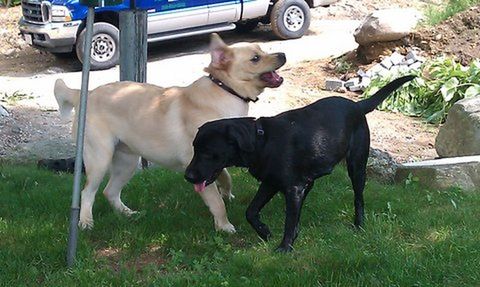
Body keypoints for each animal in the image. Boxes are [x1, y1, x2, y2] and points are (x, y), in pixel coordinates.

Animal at [53, 33, 284, 234]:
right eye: (255, 58)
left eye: (262, 50)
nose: (283, 54)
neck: (224, 90)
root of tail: (85, 93)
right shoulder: (198, 163)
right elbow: (216, 202)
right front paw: (224, 226)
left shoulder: (213, 162)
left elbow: (225, 176)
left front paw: (227, 192)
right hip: (100, 160)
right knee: (87, 193)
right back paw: (85, 222)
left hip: (127, 162)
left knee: (110, 192)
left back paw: (128, 214)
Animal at [186, 75, 414, 252]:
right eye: (195, 149)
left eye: (207, 153)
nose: (187, 176)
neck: (261, 141)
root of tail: (357, 105)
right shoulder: (271, 183)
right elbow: (251, 211)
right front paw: (265, 232)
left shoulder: (292, 188)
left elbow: (289, 220)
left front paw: (285, 247)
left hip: (356, 166)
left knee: (359, 199)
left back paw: (359, 225)